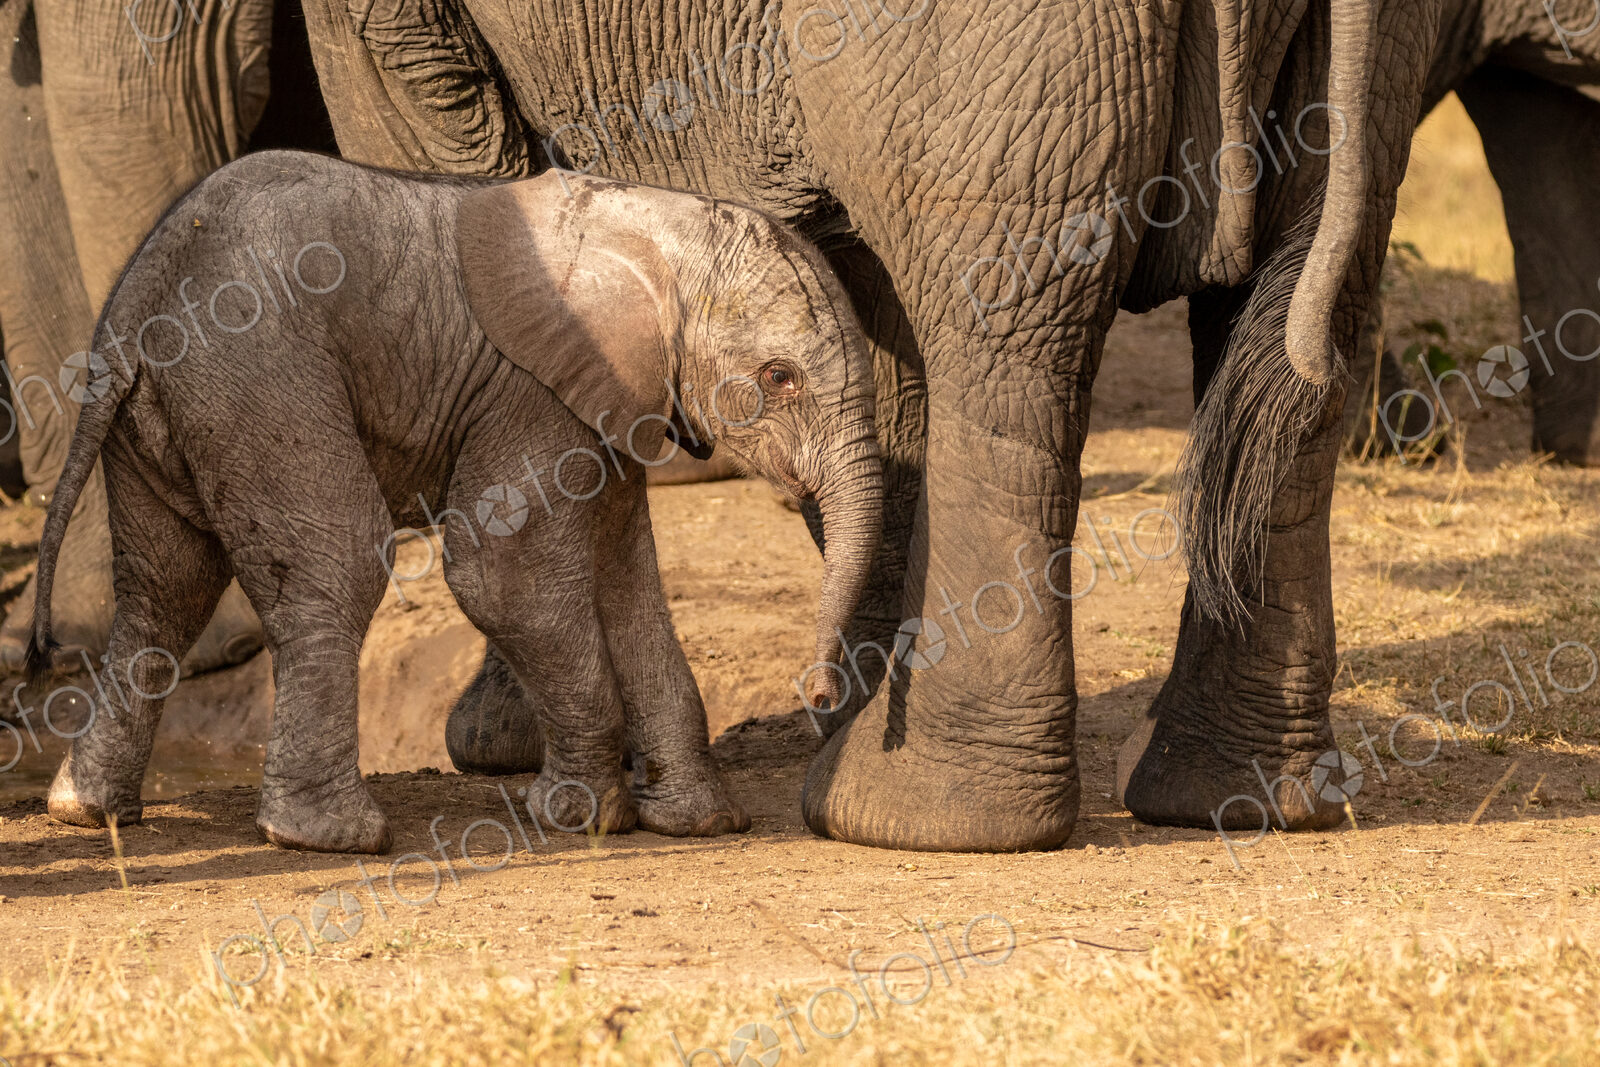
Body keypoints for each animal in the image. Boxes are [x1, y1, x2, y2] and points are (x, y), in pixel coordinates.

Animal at [31, 152, 885, 853]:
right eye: (780, 378)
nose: (817, 690)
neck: (653, 220)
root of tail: (141, 288)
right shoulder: (533, 393)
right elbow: (502, 577)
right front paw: (582, 816)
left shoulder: (614, 395)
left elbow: (629, 584)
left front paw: (699, 822)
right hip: (258, 373)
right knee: (335, 566)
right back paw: (332, 837)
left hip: (171, 403)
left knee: (164, 591)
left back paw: (88, 809)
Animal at [280, 0, 1446, 852]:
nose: (806, 685)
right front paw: (847, 697)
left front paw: (500, 739)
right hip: (1371, 50)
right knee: (1308, 305)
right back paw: (1241, 801)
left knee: (1002, 323)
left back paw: (908, 814)